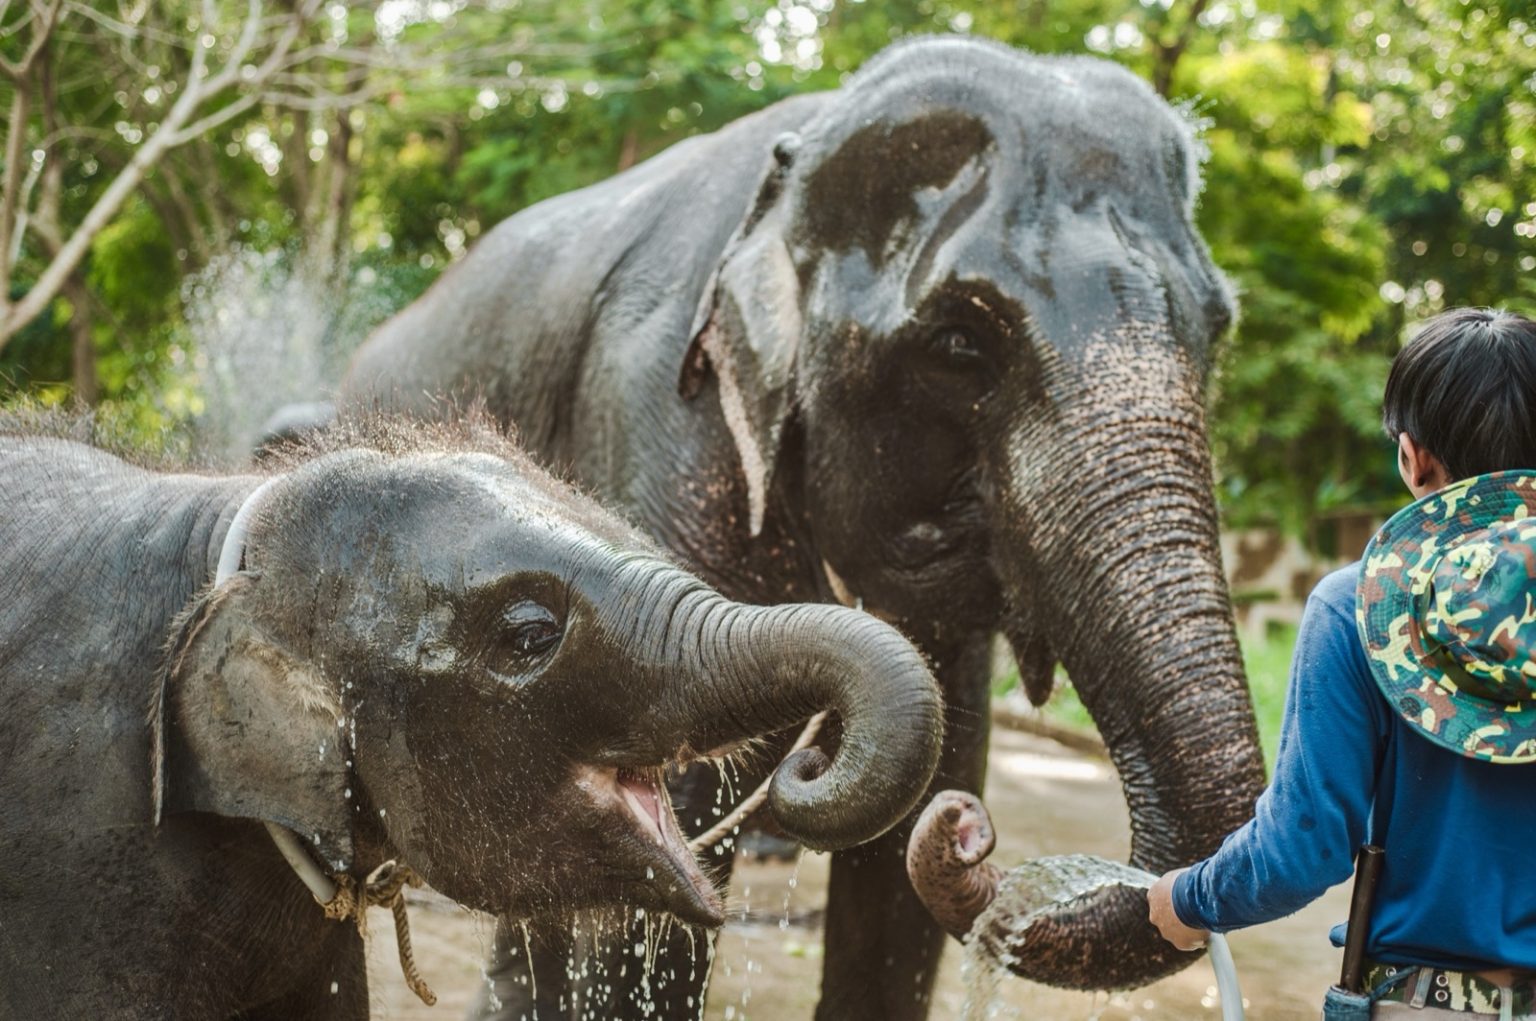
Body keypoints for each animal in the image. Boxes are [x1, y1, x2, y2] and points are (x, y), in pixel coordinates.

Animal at [339, 35, 1267, 1019]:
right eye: (960, 344)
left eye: (1216, 328)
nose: (970, 834)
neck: (805, 145)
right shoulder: (657, 409)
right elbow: (666, 823)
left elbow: (920, 819)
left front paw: (930, 806)